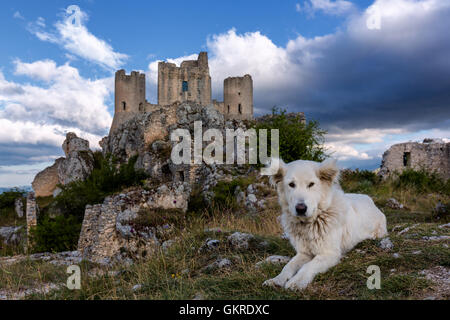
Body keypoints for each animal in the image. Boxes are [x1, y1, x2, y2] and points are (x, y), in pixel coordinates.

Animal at [264, 159, 386, 292]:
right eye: (291, 184)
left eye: (311, 184)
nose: (300, 209)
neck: (311, 222)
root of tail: (369, 199)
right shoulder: (303, 253)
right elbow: (288, 266)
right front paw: (276, 280)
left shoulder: (329, 254)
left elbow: (308, 266)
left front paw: (297, 281)